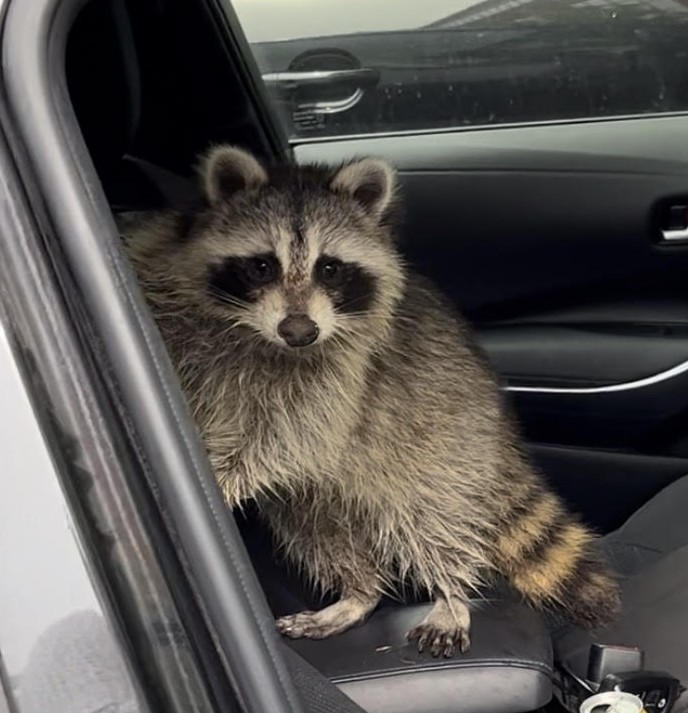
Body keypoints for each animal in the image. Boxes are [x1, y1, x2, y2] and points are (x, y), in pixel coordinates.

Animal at [122, 145, 621, 657]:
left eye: (329, 268)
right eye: (262, 265)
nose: (299, 331)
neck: (253, 332)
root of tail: (496, 420)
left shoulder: (341, 376)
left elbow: (284, 434)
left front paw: (221, 475)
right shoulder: (165, 272)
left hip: (441, 446)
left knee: (432, 522)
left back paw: (450, 593)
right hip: (325, 491)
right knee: (317, 532)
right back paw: (359, 592)